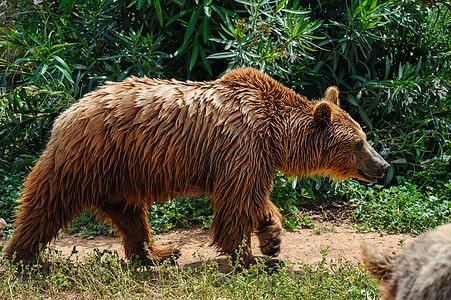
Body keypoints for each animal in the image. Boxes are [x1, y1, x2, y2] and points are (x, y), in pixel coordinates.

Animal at [5, 67, 390, 268]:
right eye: (359, 142)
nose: (384, 166)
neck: (276, 134)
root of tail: (68, 111)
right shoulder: (242, 147)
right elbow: (237, 204)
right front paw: (248, 257)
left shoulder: (252, 158)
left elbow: (254, 199)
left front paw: (272, 239)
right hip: (89, 157)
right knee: (48, 201)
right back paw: (21, 256)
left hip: (120, 172)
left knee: (129, 214)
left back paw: (157, 253)